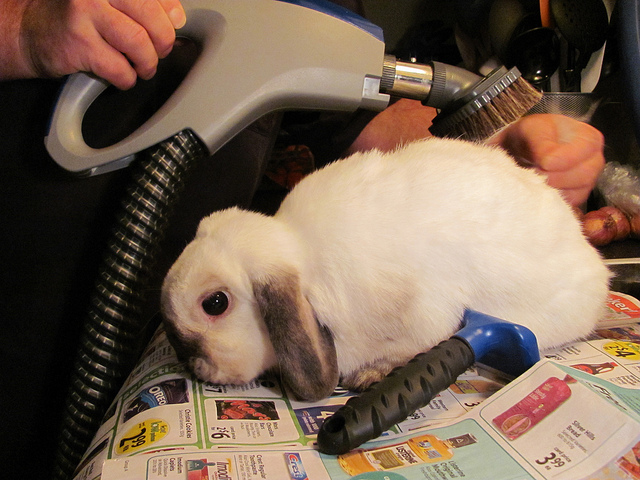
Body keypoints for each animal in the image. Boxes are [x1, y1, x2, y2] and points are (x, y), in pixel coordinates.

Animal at [161, 137, 611, 402]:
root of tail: (597, 268)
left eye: (215, 303)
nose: (187, 362)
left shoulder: (424, 319)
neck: (304, 259)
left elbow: (411, 348)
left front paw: (369, 375)